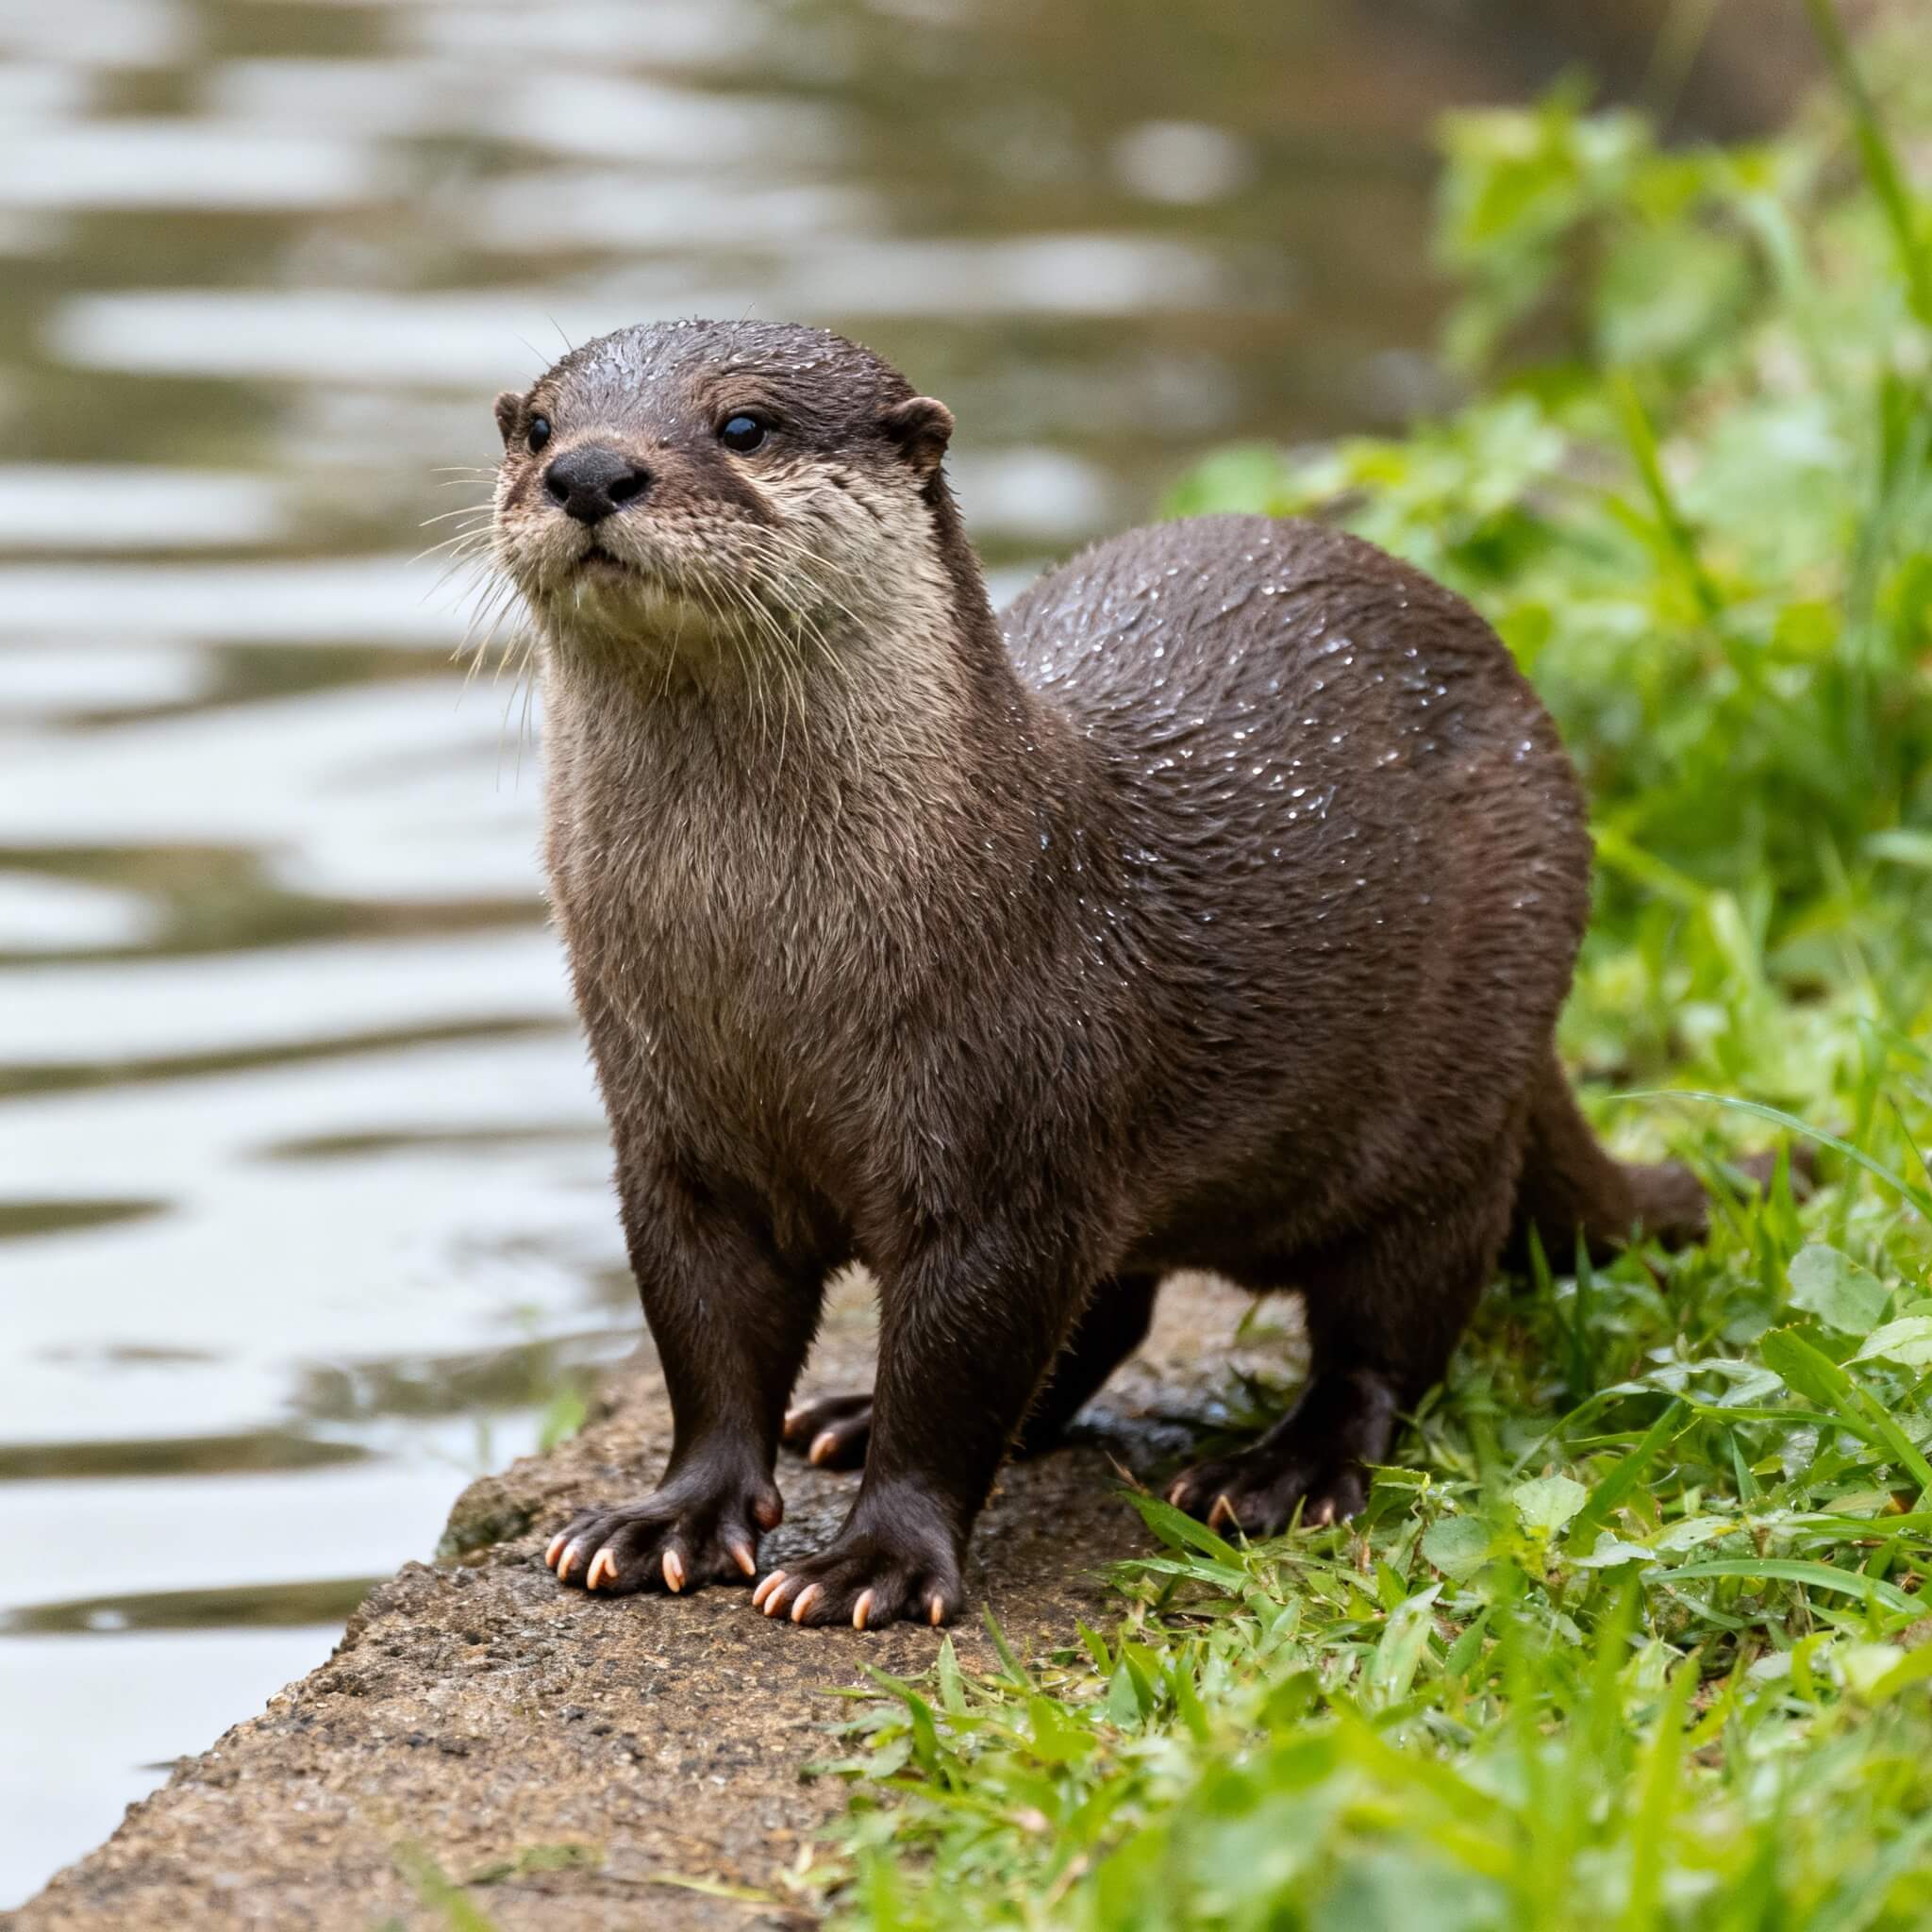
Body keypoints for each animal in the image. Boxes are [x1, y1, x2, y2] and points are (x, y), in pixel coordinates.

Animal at [489, 319, 1784, 1630]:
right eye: (538, 426)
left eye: (744, 425)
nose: (590, 471)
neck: (765, 982)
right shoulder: (672, 1137)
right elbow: (704, 1344)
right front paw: (671, 1517)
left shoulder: (1009, 1145)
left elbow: (956, 1374)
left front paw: (877, 1559)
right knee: (1114, 1305)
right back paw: (848, 1416)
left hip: (1457, 1086)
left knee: (1391, 1330)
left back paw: (1281, 1469)